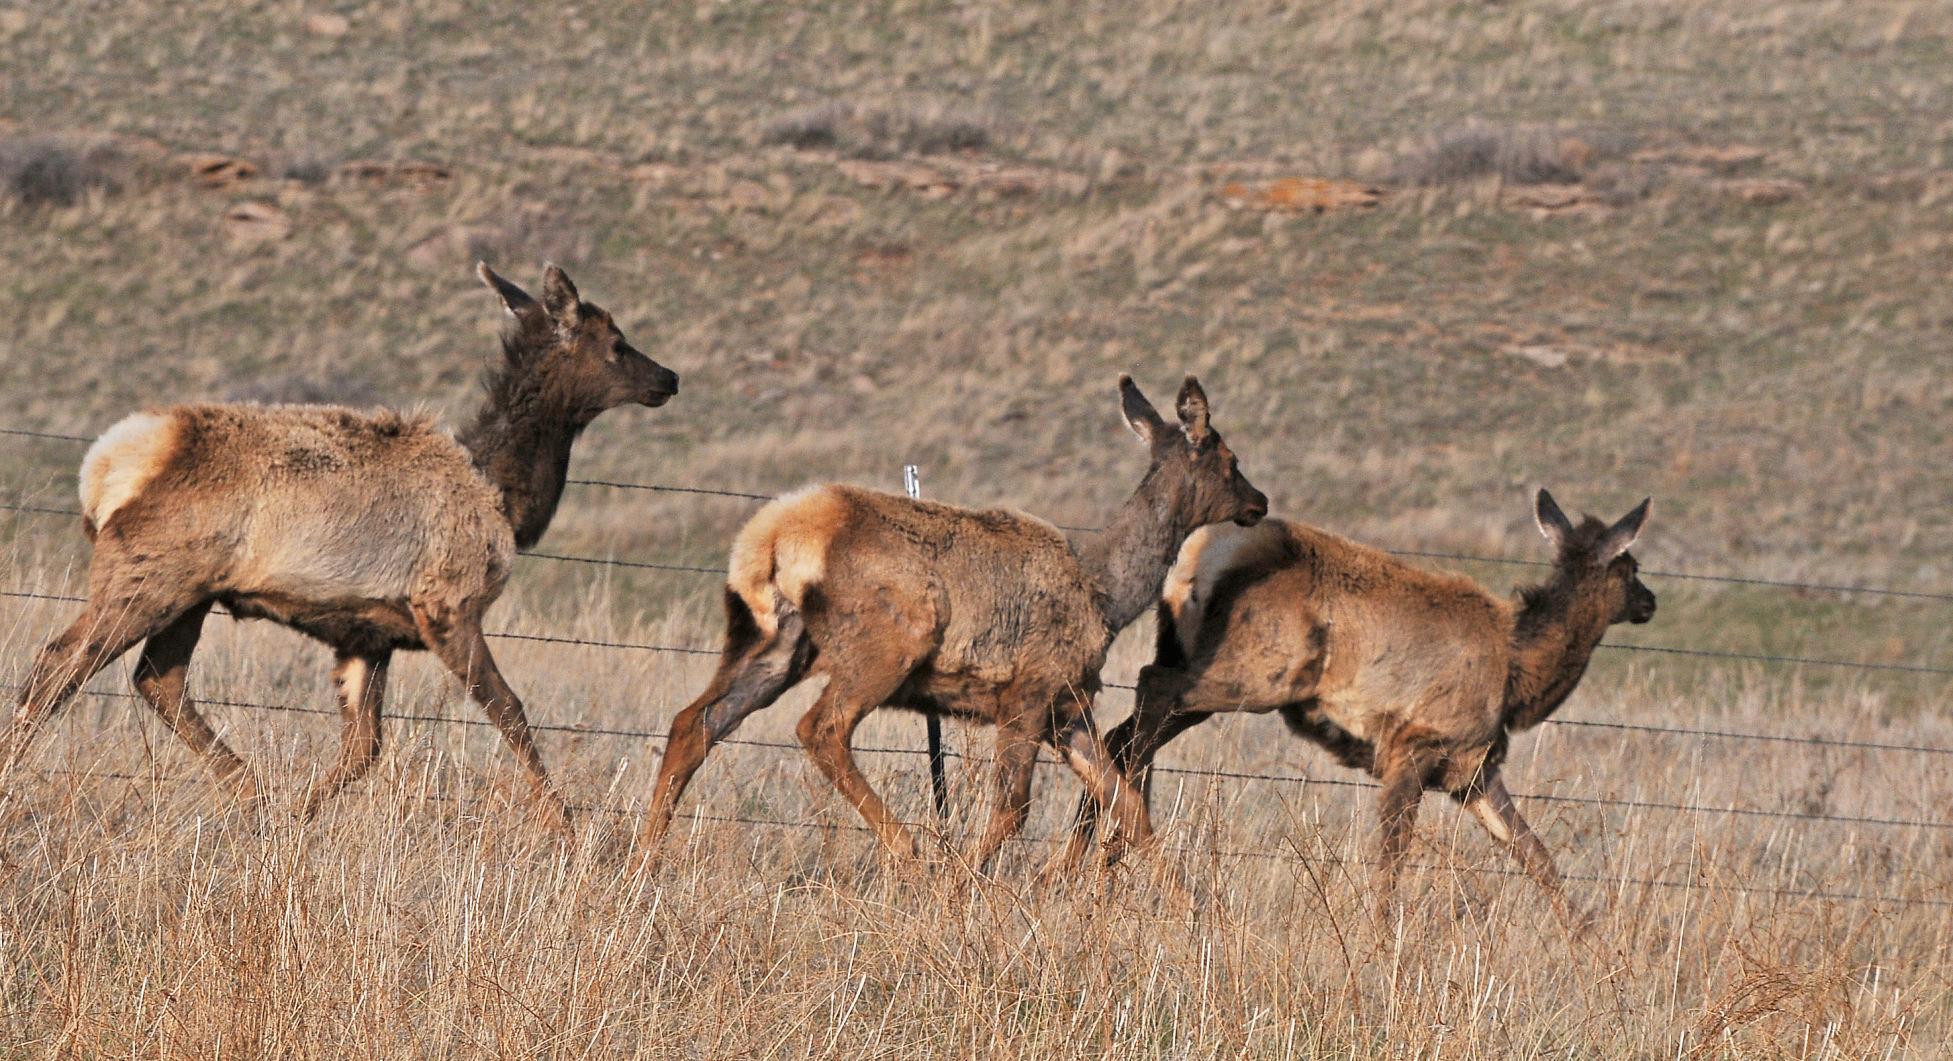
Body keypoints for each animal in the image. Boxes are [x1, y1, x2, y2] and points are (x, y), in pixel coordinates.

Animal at [0, 263, 678, 832]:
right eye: (617, 342)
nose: (669, 377)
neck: (504, 497)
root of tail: (104, 467)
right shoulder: (447, 607)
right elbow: (510, 709)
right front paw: (567, 831)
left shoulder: (367, 636)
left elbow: (363, 748)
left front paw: (297, 816)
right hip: (147, 575)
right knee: (60, 664)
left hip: (190, 592)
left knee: (157, 679)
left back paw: (255, 795)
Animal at [636, 376, 1268, 875]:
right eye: (1232, 460)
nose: (1259, 502)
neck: (1107, 598)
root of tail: (767, 540)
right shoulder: (1027, 694)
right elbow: (1013, 809)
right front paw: (960, 886)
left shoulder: (1067, 707)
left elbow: (1127, 804)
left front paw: (1186, 908)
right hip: (887, 641)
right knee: (820, 728)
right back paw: (910, 852)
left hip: (772, 643)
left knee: (694, 722)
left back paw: (643, 858)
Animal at [1065, 489, 1654, 921]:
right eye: (1631, 565)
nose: (1650, 602)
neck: (1519, 677)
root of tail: (1196, 557)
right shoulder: (1413, 745)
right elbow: (1390, 862)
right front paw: (1375, 942)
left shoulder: (1472, 769)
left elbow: (1538, 857)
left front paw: (1598, 952)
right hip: (1254, 671)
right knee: (1148, 695)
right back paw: (1104, 862)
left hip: (1199, 665)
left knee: (1121, 733)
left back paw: (1090, 864)